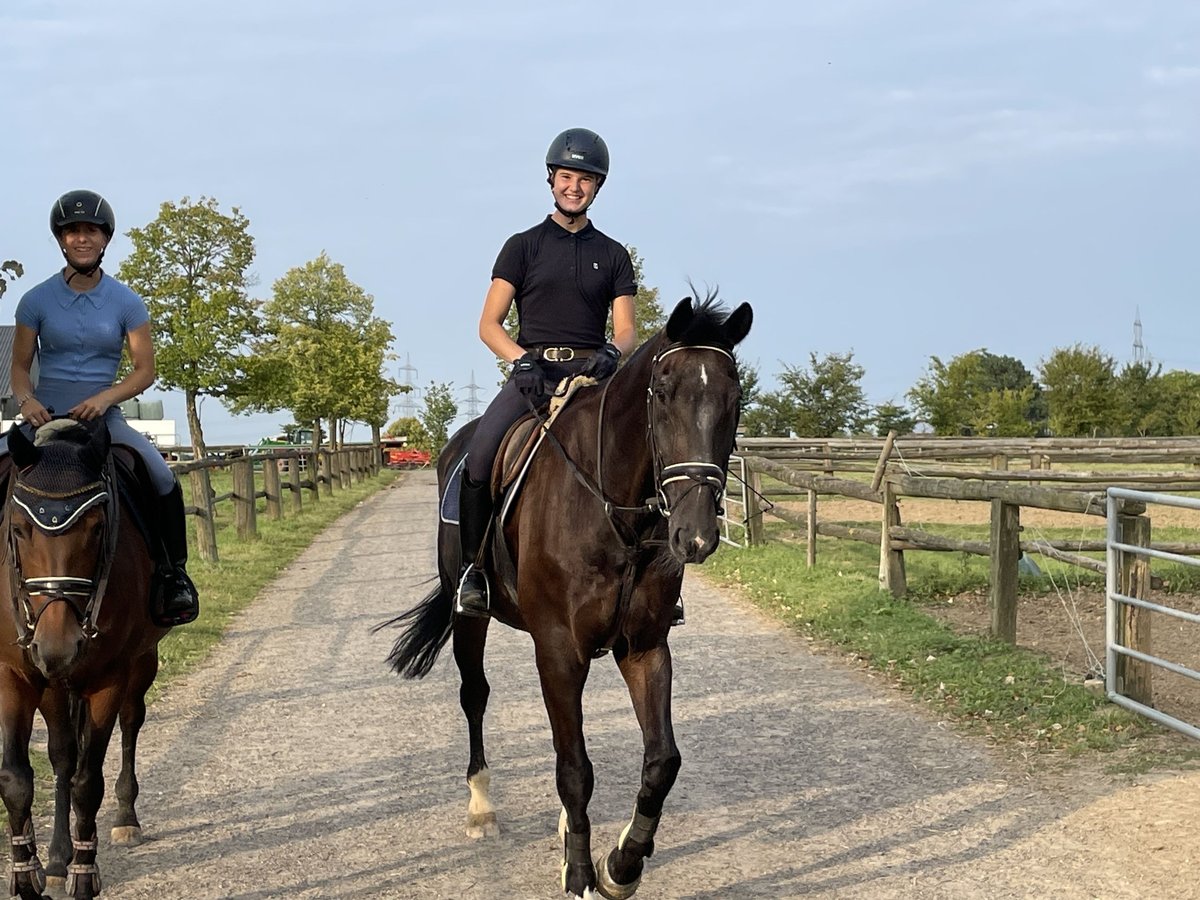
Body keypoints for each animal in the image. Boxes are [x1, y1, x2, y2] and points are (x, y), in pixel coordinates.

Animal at [0, 422, 166, 900]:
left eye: (96, 528)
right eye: (18, 528)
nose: (59, 646)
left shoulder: (107, 678)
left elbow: (88, 782)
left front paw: (84, 875)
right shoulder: (16, 675)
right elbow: (18, 778)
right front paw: (28, 873)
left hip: (140, 663)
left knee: (131, 722)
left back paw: (125, 819)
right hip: (54, 685)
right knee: (62, 755)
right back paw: (56, 858)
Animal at [376, 297, 748, 900]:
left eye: (735, 399)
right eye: (663, 393)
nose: (694, 536)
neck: (612, 513)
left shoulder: (644, 647)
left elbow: (661, 761)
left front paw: (620, 865)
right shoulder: (557, 649)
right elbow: (574, 768)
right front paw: (579, 874)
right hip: (471, 618)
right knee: (475, 696)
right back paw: (482, 809)